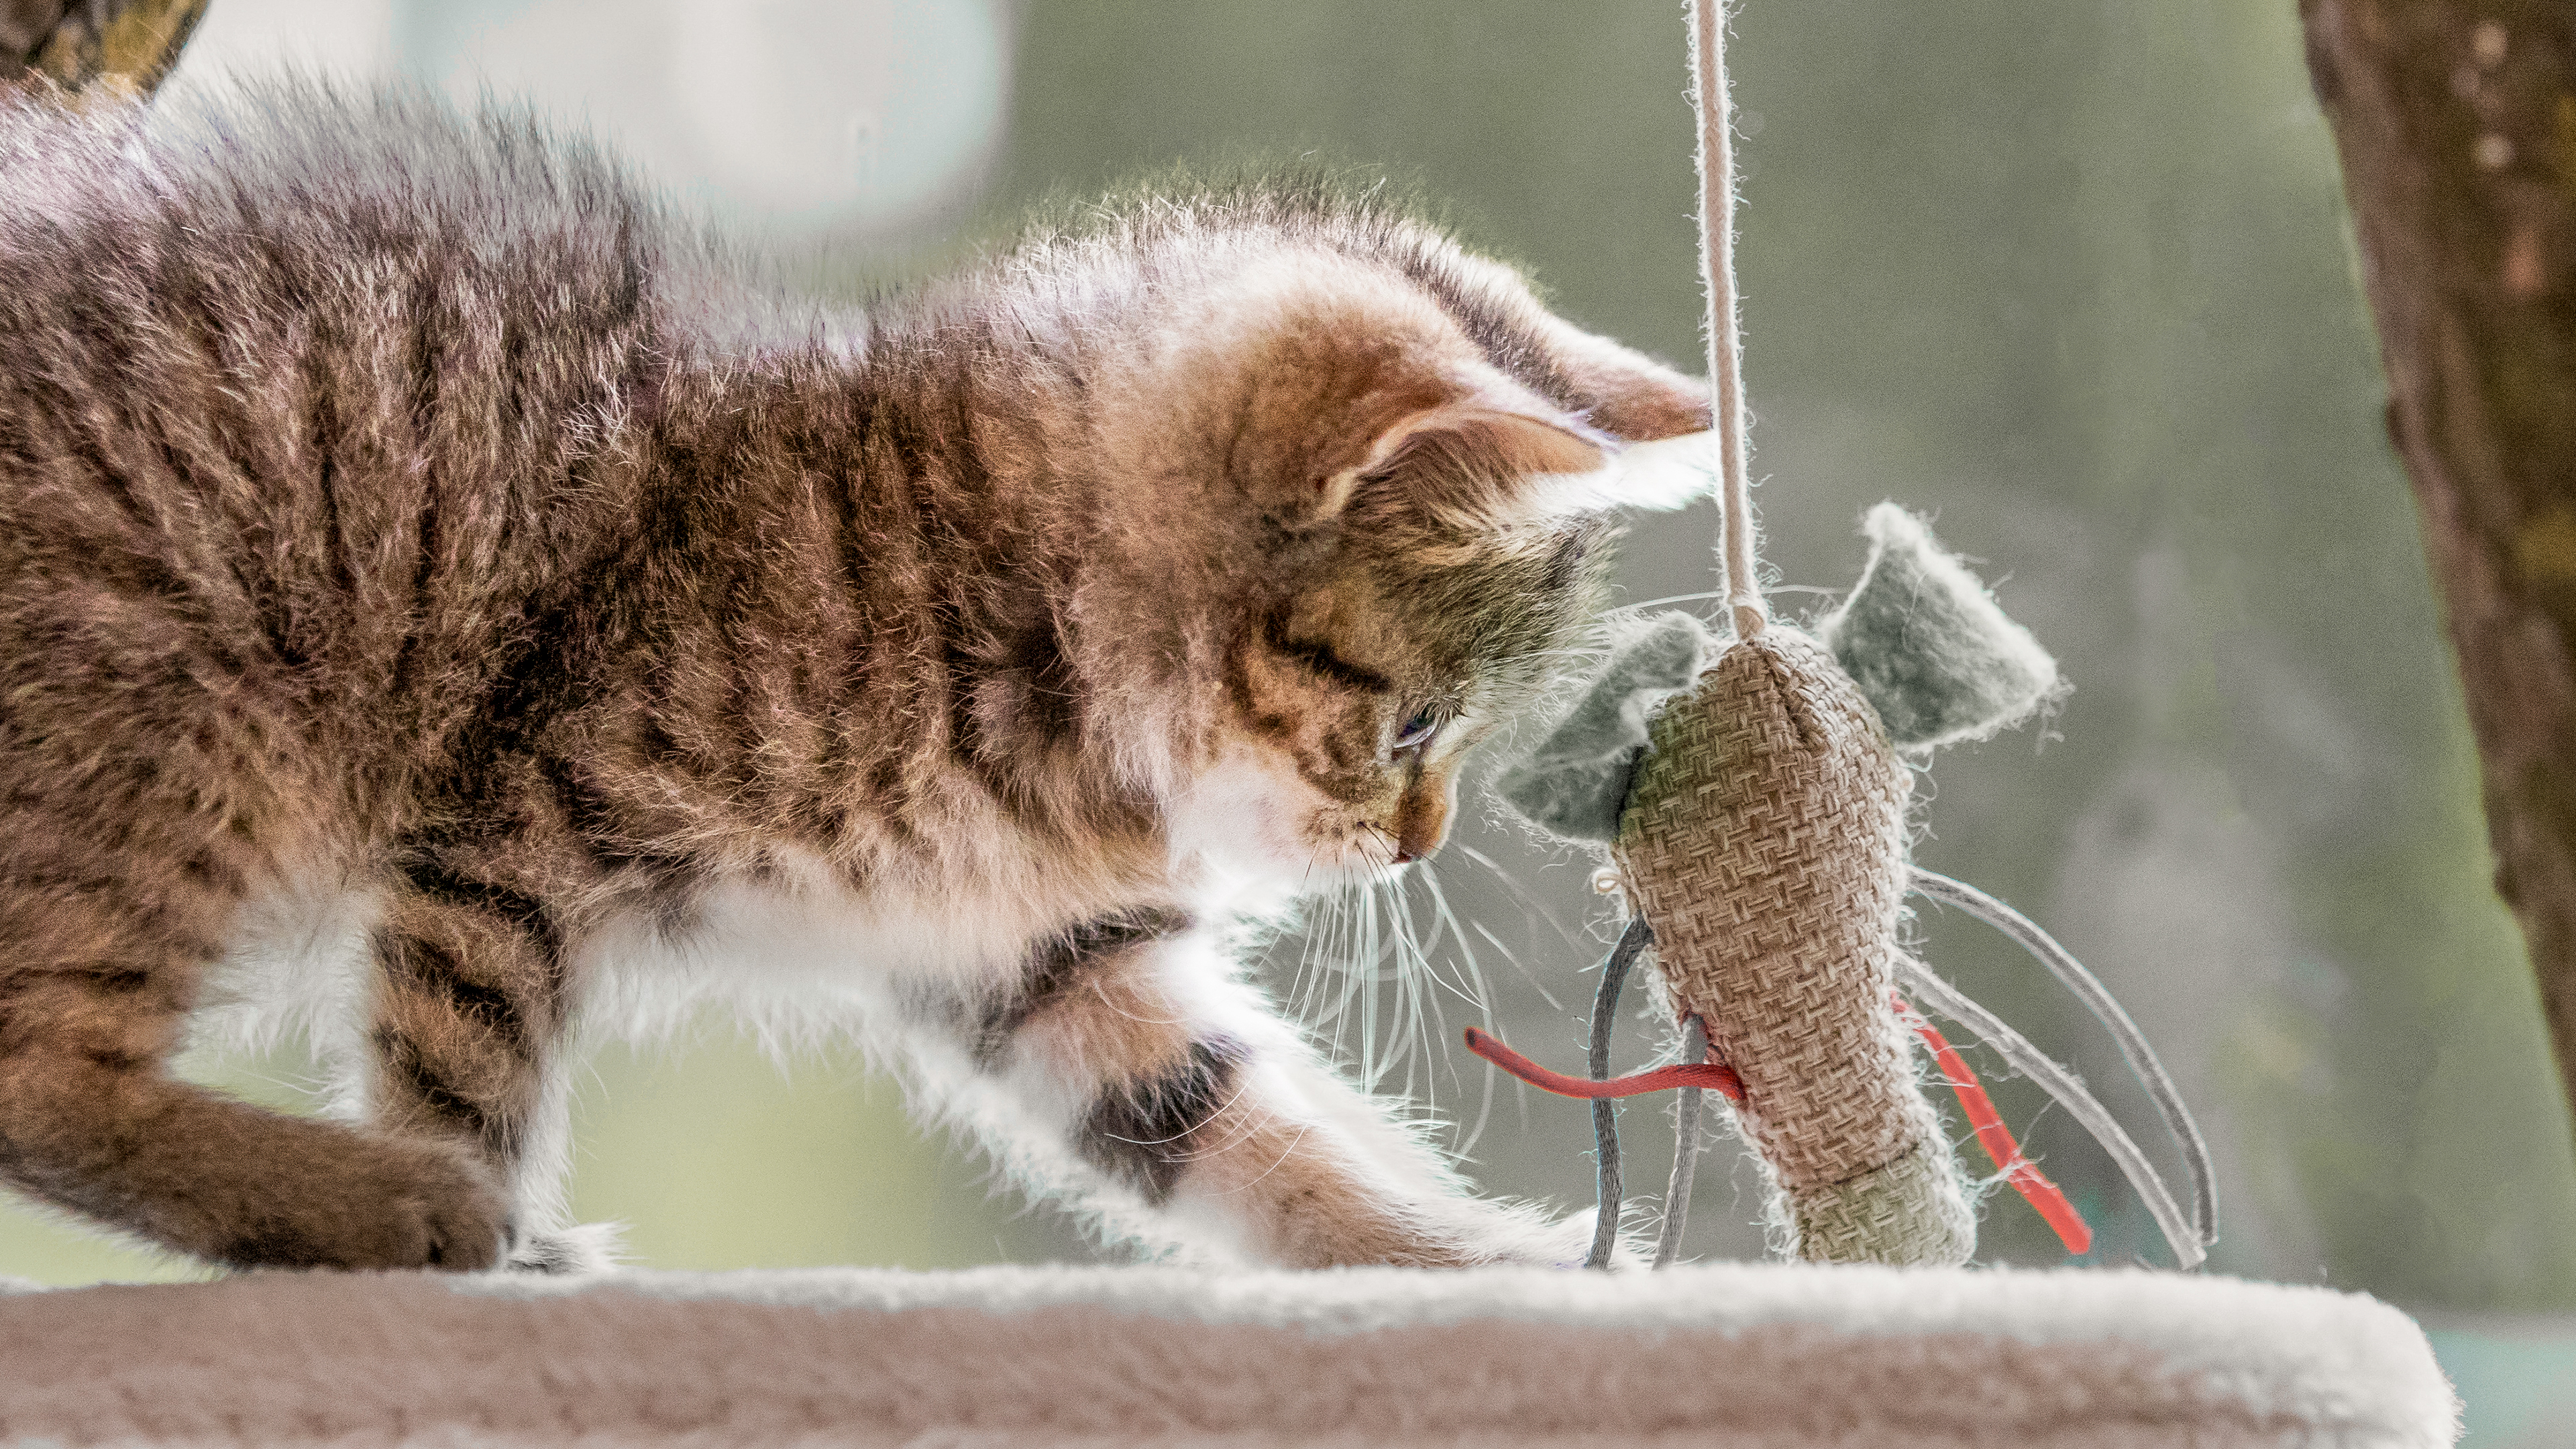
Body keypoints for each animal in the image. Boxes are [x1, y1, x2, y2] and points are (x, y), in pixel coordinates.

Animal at [0, 84, 1721, 1268]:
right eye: (1416, 721)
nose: (1421, 843)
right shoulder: (520, 811)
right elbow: (463, 1051)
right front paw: (505, 1230)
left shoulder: (1039, 953)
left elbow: (1215, 1118)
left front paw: (1473, 1256)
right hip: (195, 716)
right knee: (38, 1078)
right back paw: (378, 1197)